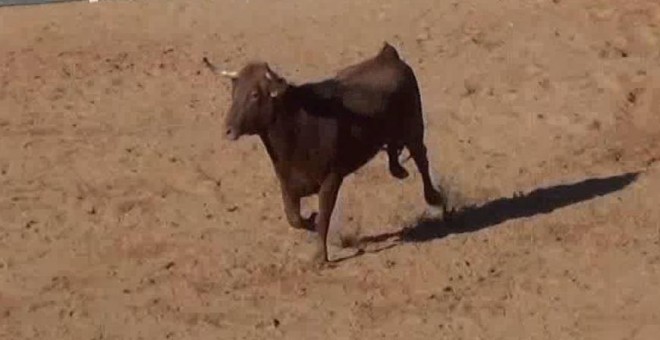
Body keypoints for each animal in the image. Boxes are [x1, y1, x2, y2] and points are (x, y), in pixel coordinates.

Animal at [206, 42, 452, 264]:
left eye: (255, 94)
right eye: (234, 92)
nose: (228, 130)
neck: (297, 125)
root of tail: (387, 56)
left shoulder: (331, 179)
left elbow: (324, 217)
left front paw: (319, 258)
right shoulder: (288, 183)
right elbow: (294, 218)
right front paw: (310, 220)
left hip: (414, 128)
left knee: (421, 159)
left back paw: (435, 197)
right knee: (395, 149)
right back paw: (399, 170)